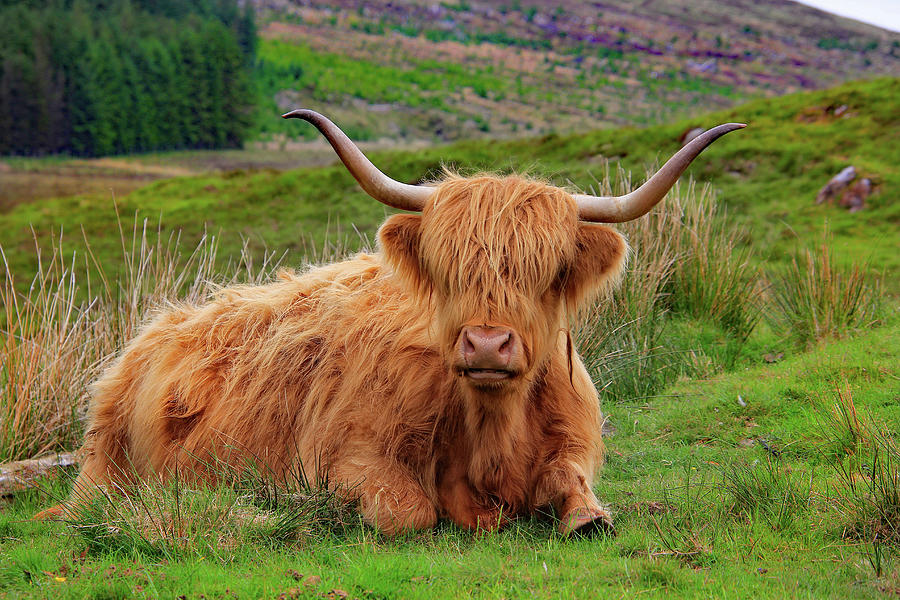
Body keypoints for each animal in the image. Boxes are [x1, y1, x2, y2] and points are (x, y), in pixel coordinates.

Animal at [38, 112, 744, 536]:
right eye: (448, 267)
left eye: (545, 270)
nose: (487, 343)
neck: (491, 430)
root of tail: (159, 327)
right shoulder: (350, 454)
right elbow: (411, 513)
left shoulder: (575, 446)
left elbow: (583, 506)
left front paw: (582, 514)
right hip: (105, 469)